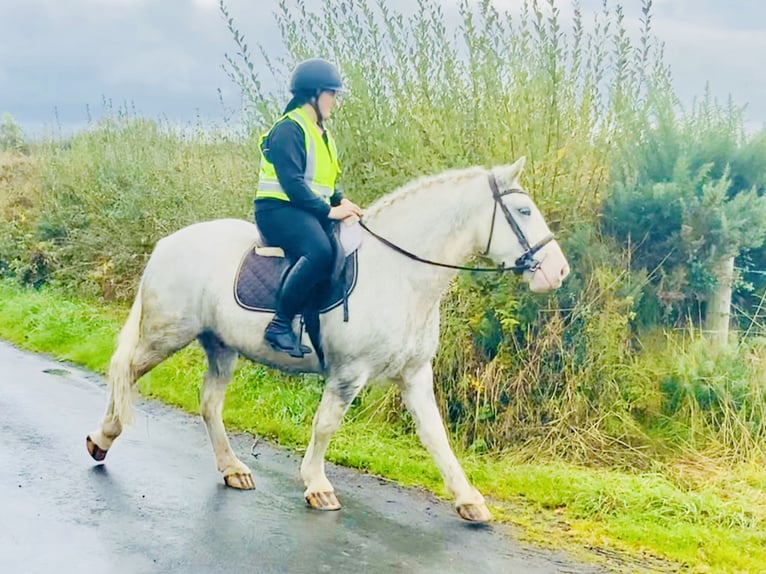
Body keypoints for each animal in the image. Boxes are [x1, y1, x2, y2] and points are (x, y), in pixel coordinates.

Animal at [87, 155, 572, 524]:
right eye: (524, 212)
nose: (558, 271)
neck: (401, 274)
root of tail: (169, 243)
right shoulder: (348, 373)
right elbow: (325, 425)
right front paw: (318, 486)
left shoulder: (414, 375)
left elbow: (436, 436)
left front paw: (469, 500)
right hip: (165, 334)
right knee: (125, 373)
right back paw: (102, 438)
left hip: (220, 345)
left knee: (208, 404)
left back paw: (233, 469)